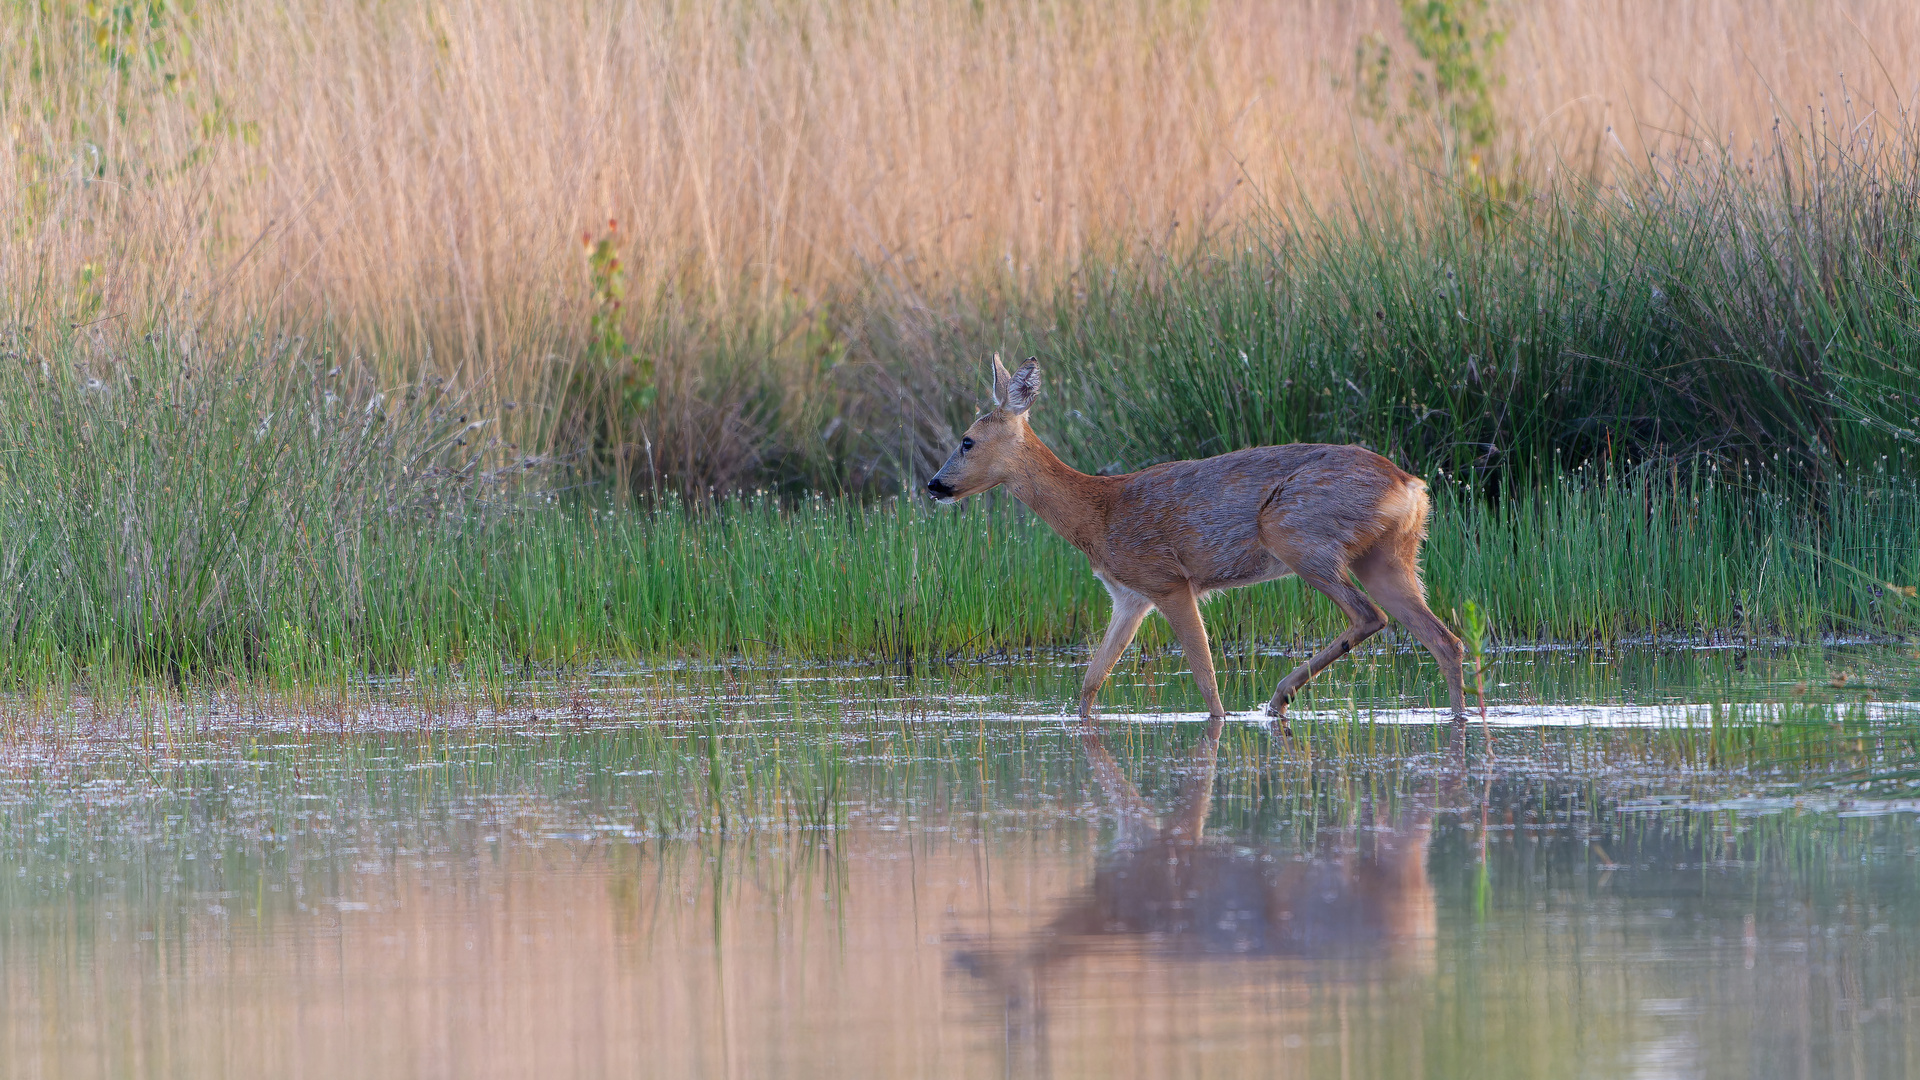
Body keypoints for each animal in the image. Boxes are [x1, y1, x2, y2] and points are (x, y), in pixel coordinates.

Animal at [921, 355, 1459, 722]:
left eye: (967, 441)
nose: (934, 485)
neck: (1096, 514)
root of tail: (1411, 485)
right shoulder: (1128, 596)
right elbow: (1090, 682)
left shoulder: (1167, 580)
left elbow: (1206, 682)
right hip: (1388, 554)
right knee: (1444, 639)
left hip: (1295, 531)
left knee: (1371, 615)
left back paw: (1279, 697)